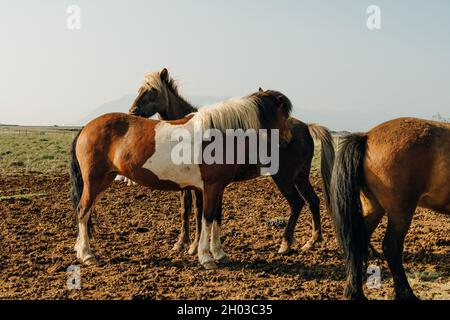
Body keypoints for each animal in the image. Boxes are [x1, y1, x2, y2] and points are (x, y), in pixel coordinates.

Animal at [67, 86, 292, 268]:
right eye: (284, 115)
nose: (288, 141)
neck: (219, 134)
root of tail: (86, 128)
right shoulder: (210, 187)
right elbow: (207, 218)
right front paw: (206, 257)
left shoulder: (218, 188)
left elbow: (217, 219)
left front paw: (220, 254)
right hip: (94, 181)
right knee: (83, 211)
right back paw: (87, 255)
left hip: (102, 182)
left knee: (85, 211)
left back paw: (80, 250)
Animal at [128, 69, 336, 256]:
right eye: (140, 90)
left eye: (153, 90)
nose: (133, 111)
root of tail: (306, 127)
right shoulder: (188, 185)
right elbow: (185, 209)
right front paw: (182, 242)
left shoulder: (201, 186)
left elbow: (198, 211)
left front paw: (194, 246)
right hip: (300, 177)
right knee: (312, 201)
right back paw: (312, 241)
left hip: (283, 177)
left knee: (297, 203)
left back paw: (285, 244)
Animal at [330, 117, 450, 300]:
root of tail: (367, 136)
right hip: (400, 212)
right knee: (391, 246)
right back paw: (406, 294)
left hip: (374, 209)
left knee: (358, 243)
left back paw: (355, 293)